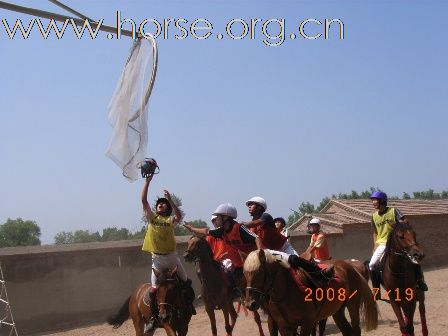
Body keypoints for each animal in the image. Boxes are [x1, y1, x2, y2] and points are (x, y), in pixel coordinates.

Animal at [243, 249, 376, 336]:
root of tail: (350, 266)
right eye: (244, 273)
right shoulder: (283, 325)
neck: (287, 291)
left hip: (353, 305)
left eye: (259, 273)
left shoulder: (307, 322)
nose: (250, 304)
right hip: (337, 311)